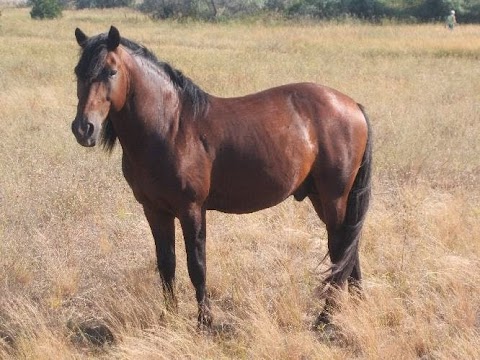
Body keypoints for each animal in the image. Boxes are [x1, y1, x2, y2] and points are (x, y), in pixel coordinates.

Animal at [71, 26, 374, 330]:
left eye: (111, 71)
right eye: (77, 72)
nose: (84, 129)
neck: (171, 127)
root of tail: (353, 105)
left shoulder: (191, 209)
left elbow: (197, 265)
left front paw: (204, 321)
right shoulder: (154, 210)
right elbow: (166, 264)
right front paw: (168, 319)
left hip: (334, 197)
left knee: (340, 248)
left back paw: (326, 317)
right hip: (319, 197)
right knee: (348, 247)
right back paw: (357, 306)